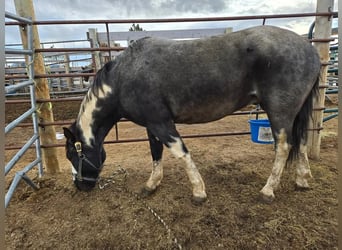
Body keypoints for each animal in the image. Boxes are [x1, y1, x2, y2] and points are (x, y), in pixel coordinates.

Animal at [62, 25, 320, 203]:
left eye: (73, 155)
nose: (79, 186)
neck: (124, 78)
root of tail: (310, 49)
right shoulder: (151, 125)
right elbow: (156, 153)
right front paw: (151, 185)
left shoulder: (162, 123)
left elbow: (181, 153)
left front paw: (198, 191)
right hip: (295, 112)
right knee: (301, 140)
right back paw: (302, 179)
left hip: (280, 112)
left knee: (284, 147)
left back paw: (268, 190)